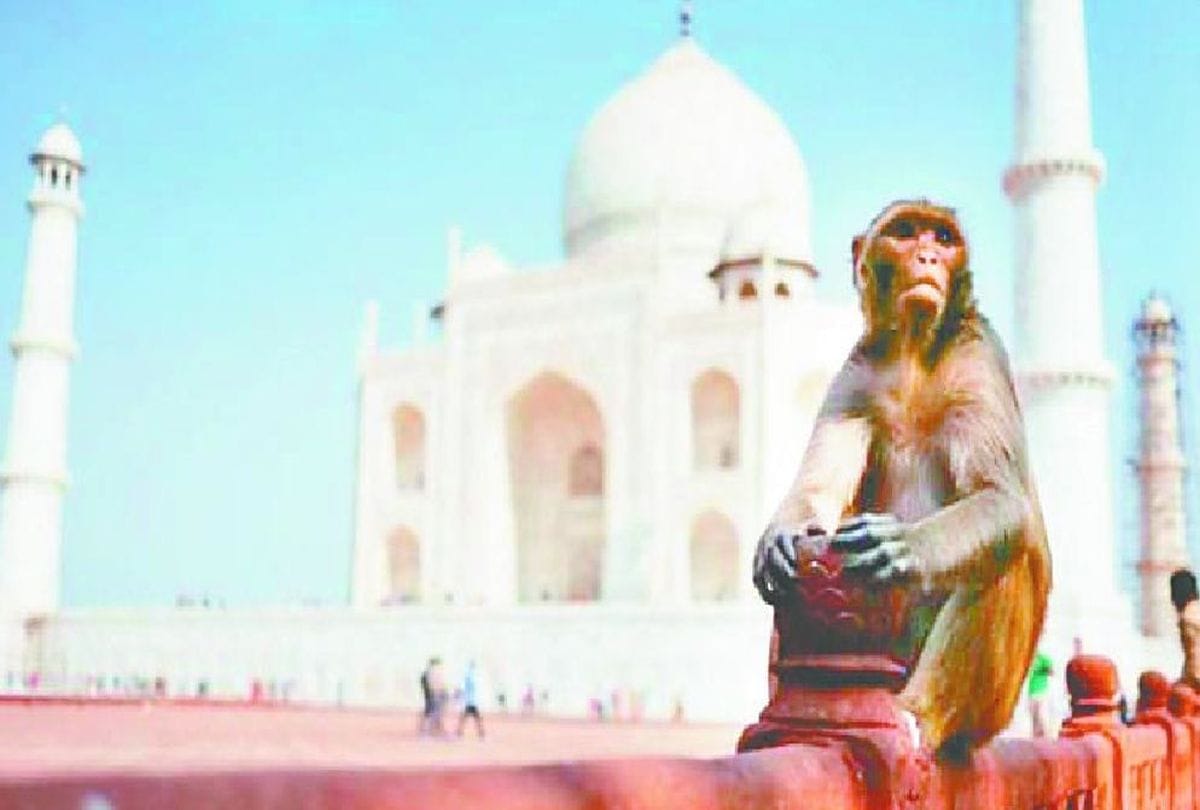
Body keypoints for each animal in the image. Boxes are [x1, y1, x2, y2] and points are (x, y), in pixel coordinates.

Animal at [751, 199, 1051, 758]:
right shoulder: (857, 370)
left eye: (943, 238)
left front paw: (904, 545)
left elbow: (1000, 499)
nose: (929, 257)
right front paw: (780, 534)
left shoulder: (980, 350)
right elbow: (817, 492)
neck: (914, 350)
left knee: (1003, 556)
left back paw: (919, 718)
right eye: (907, 232)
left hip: (988, 707)